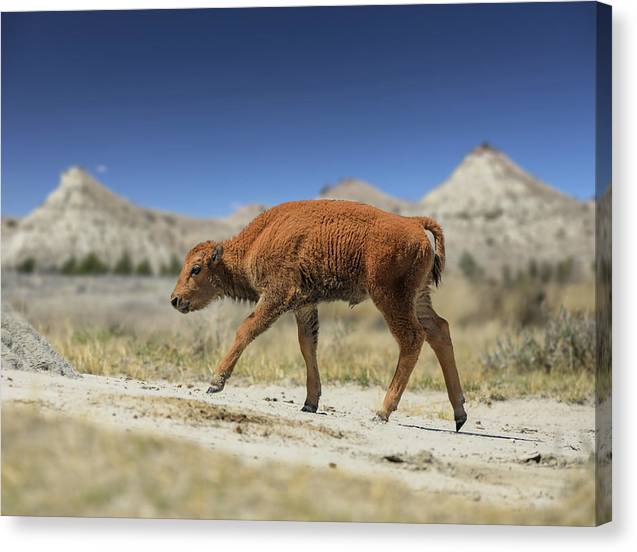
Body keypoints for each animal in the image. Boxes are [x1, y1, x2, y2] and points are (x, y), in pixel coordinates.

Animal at [169, 199, 468, 432]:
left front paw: (215, 383)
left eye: (196, 269)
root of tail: (414, 223)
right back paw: (459, 414)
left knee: (412, 338)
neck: (257, 240)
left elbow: (247, 329)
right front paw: (310, 403)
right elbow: (307, 346)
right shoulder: (304, 305)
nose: (175, 299)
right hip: (418, 297)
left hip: (390, 297)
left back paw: (382, 411)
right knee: (439, 330)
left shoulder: (278, 295)